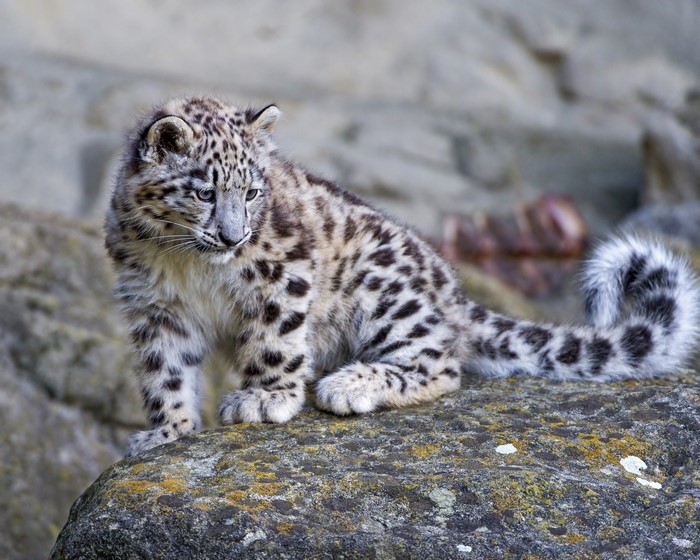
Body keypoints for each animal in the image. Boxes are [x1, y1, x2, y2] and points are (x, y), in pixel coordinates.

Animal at [105, 96, 700, 456]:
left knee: (440, 364)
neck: (190, 264)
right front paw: (166, 431)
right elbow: (165, 372)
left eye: (251, 192)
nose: (233, 237)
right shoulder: (155, 308)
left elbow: (274, 341)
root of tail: (454, 292)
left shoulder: (283, 272)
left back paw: (348, 384)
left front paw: (264, 397)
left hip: (383, 289)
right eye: (206, 192)